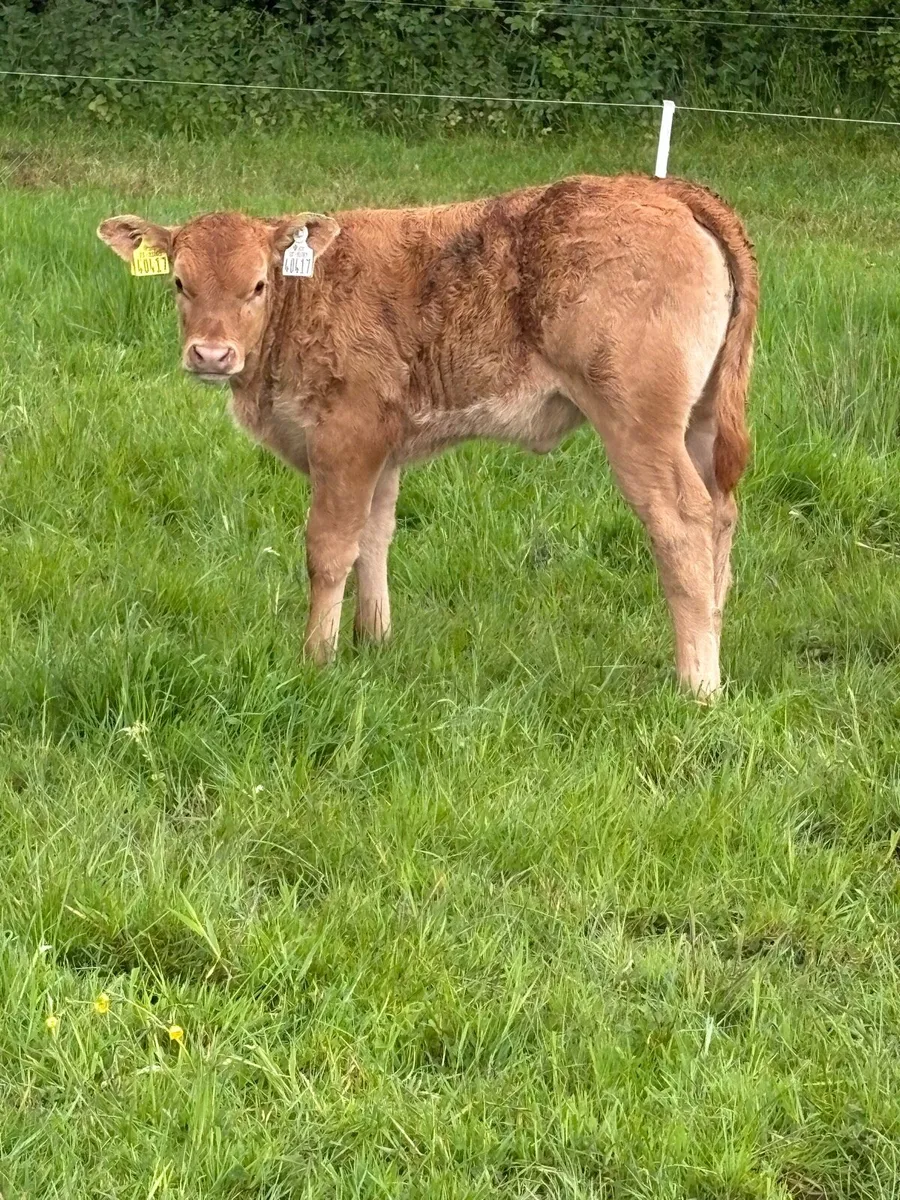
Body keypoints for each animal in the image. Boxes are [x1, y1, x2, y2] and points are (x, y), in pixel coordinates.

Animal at [98, 173, 758, 698]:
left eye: (257, 285)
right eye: (179, 284)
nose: (211, 354)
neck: (306, 298)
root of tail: (661, 188)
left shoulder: (346, 437)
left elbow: (329, 549)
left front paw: (316, 659)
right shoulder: (384, 449)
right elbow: (375, 535)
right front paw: (373, 640)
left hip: (638, 424)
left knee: (682, 522)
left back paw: (698, 684)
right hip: (699, 421)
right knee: (721, 515)